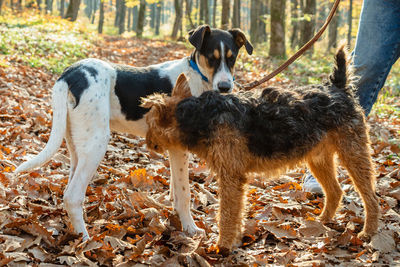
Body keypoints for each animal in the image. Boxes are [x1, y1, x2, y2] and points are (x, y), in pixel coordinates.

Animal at [16, 25, 253, 241]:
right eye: (211, 58)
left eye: (232, 58)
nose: (225, 87)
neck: (198, 76)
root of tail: (70, 74)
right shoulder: (179, 148)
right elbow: (184, 193)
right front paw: (190, 229)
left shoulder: (173, 148)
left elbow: (175, 190)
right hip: (96, 144)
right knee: (72, 196)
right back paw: (85, 239)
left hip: (76, 144)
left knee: (69, 189)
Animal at [142, 47, 380, 256]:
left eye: (150, 123)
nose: (147, 143)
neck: (202, 116)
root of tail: (338, 87)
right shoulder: (233, 177)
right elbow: (235, 215)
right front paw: (232, 241)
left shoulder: (231, 176)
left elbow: (227, 215)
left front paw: (222, 246)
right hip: (318, 158)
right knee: (335, 191)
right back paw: (322, 221)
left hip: (354, 152)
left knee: (371, 197)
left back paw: (367, 233)